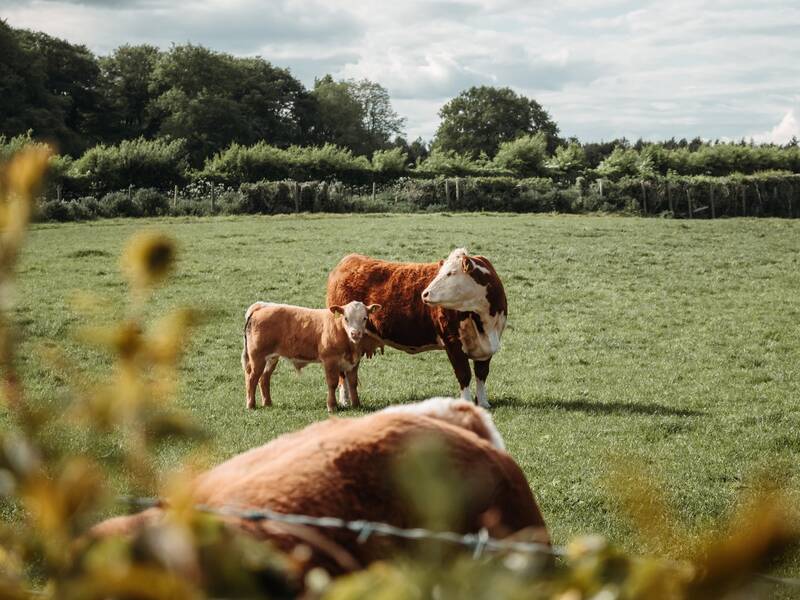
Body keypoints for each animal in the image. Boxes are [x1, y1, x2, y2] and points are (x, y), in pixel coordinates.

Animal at [242, 300, 380, 412]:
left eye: (365, 318)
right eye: (346, 318)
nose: (355, 333)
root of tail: (262, 306)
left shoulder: (354, 362)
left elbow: (353, 383)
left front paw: (356, 405)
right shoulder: (330, 361)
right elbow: (332, 383)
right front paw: (332, 406)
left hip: (271, 358)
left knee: (264, 378)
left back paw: (268, 403)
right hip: (257, 357)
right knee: (252, 378)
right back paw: (251, 405)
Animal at [324, 247, 506, 408]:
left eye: (451, 273)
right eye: (440, 272)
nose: (425, 294)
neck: (483, 321)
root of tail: (349, 260)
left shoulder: (488, 346)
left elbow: (482, 374)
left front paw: (483, 403)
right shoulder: (452, 342)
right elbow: (464, 374)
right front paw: (467, 402)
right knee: (342, 373)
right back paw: (344, 400)